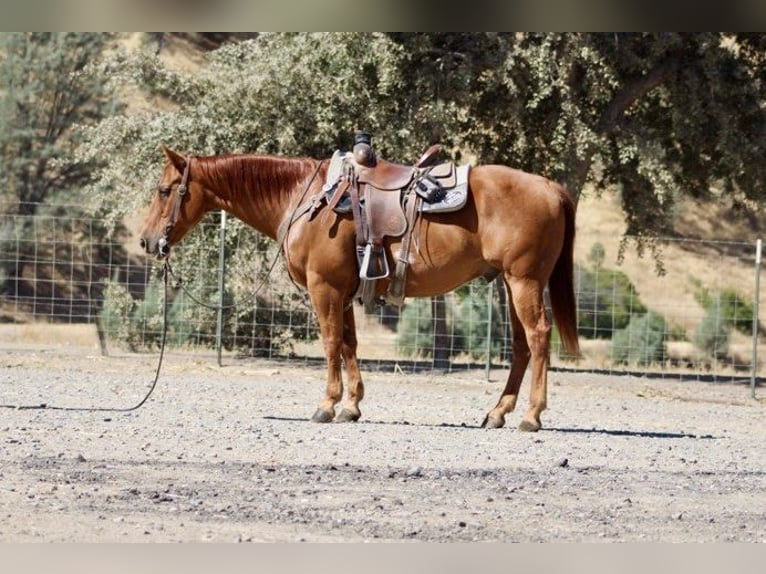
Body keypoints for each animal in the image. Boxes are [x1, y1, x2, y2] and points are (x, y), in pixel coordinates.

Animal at [140, 146, 584, 434]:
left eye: (164, 190)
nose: (147, 241)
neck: (306, 198)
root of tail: (550, 188)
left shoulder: (324, 288)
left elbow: (331, 342)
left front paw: (326, 405)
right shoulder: (344, 291)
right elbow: (350, 343)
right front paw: (351, 405)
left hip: (524, 281)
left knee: (538, 337)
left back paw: (531, 416)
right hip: (512, 284)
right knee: (522, 346)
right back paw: (497, 413)